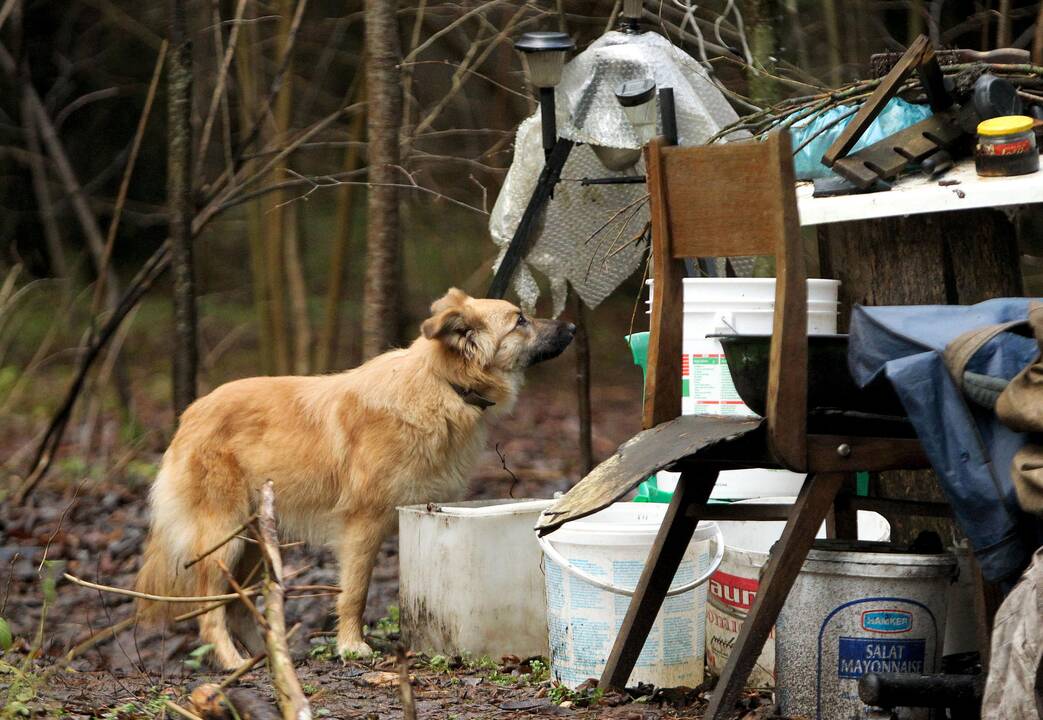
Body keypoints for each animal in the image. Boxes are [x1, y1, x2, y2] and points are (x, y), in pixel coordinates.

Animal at [134, 288, 575, 667]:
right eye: (520, 321)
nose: (572, 327)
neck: (441, 383)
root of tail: (190, 416)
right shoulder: (362, 525)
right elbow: (355, 592)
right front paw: (351, 645)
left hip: (256, 541)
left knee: (238, 607)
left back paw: (274, 661)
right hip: (224, 539)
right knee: (209, 613)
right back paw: (234, 664)